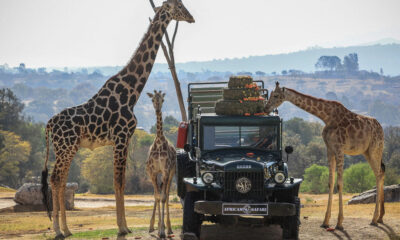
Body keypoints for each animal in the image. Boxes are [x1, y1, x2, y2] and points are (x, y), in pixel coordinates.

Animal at [39, 1, 194, 238]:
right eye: (178, 5)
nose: (191, 18)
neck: (131, 92)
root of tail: (48, 124)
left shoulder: (123, 139)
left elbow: (120, 182)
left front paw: (125, 225)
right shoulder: (121, 137)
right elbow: (119, 182)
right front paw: (122, 227)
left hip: (67, 148)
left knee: (61, 180)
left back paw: (66, 229)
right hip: (65, 147)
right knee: (56, 179)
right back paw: (57, 230)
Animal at [266, 82, 384, 229]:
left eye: (276, 95)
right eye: (270, 94)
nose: (265, 108)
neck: (326, 117)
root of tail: (381, 129)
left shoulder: (339, 149)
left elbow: (339, 183)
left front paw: (339, 222)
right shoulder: (329, 149)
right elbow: (330, 182)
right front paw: (325, 221)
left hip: (375, 149)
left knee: (378, 175)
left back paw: (374, 219)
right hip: (367, 152)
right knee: (381, 173)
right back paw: (380, 217)